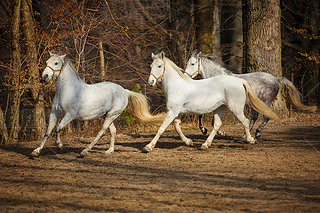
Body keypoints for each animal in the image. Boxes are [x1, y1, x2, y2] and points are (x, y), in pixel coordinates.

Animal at [30, 52, 165, 157]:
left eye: (56, 63)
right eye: (47, 61)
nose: (45, 76)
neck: (67, 90)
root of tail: (124, 91)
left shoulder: (69, 115)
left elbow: (58, 128)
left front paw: (59, 146)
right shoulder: (54, 113)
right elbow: (48, 132)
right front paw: (36, 151)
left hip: (111, 115)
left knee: (102, 132)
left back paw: (85, 151)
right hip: (108, 115)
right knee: (113, 131)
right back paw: (109, 151)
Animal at [143, 51, 280, 151]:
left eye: (159, 66)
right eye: (151, 66)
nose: (151, 82)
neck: (176, 86)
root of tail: (239, 81)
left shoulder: (172, 112)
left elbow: (161, 128)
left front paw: (148, 147)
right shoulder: (177, 112)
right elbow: (177, 127)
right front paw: (188, 142)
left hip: (236, 108)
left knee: (247, 121)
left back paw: (250, 139)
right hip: (220, 108)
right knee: (217, 124)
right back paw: (205, 144)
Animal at [185, 50, 318, 140]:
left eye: (193, 64)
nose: (185, 76)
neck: (218, 79)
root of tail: (275, 79)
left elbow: (208, 118)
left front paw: (210, 131)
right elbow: (204, 116)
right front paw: (211, 131)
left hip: (265, 102)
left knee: (265, 117)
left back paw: (255, 134)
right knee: (254, 117)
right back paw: (245, 135)